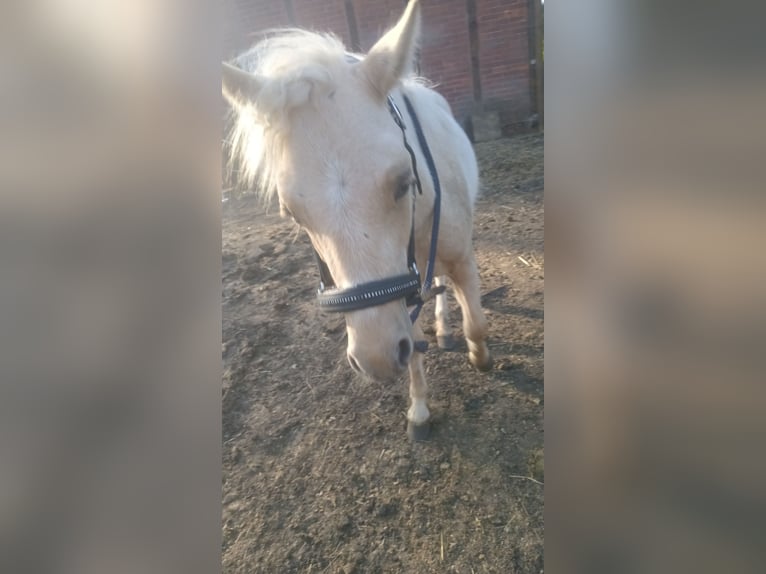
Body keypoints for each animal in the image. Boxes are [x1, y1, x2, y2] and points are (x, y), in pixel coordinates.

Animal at [222, 0, 491, 438]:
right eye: (292, 213)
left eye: (403, 182)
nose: (375, 358)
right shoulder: (402, 287)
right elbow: (414, 347)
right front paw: (419, 408)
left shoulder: (461, 256)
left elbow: (477, 324)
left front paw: (480, 357)